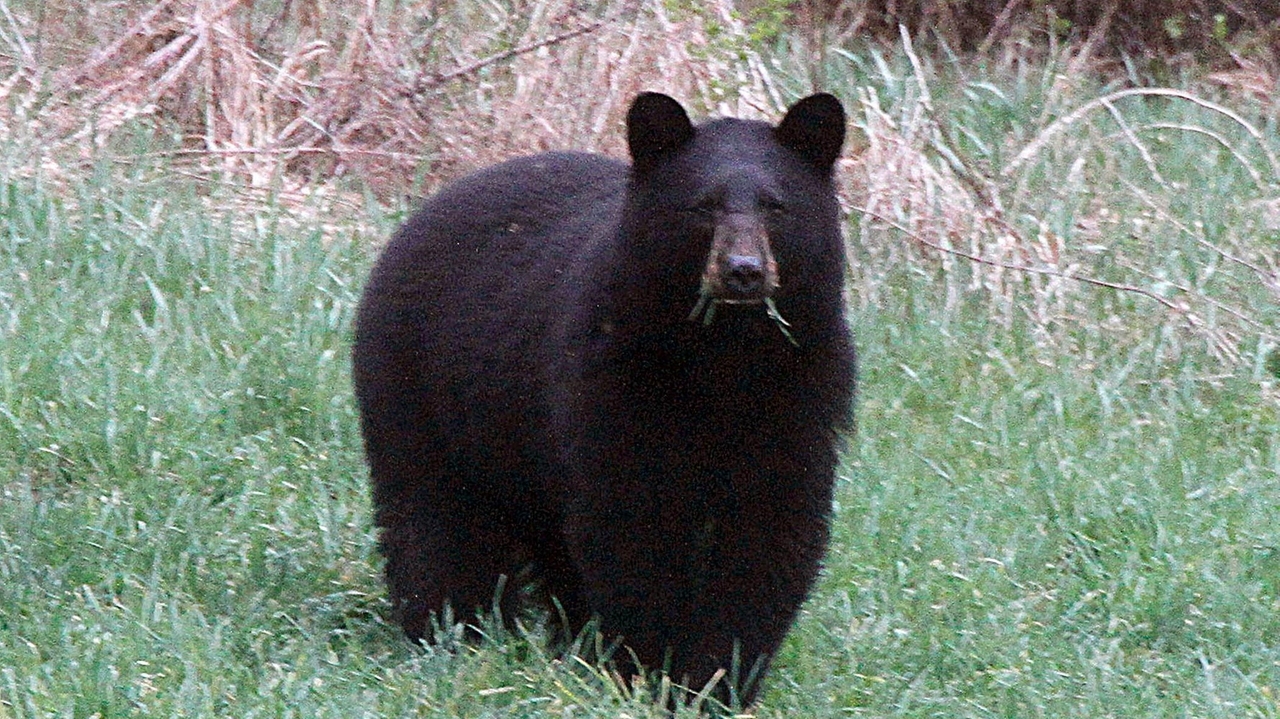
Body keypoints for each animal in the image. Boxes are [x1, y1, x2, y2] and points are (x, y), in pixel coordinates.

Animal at [351, 92, 856, 708]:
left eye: (776, 207)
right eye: (703, 207)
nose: (743, 272)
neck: (723, 359)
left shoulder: (801, 394)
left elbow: (769, 535)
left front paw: (719, 681)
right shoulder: (612, 383)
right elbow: (629, 527)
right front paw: (646, 669)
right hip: (421, 387)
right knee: (434, 517)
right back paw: (452, 630)